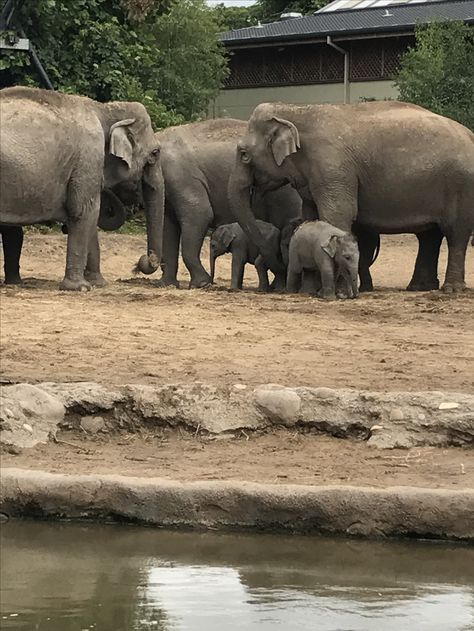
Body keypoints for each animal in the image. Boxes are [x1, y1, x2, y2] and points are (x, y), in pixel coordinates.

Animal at [0, 86, 164, 292]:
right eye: (155, 153)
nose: (142, 261)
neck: (104, 109)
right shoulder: (88, 156)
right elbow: (85, 210)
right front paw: (80, 287)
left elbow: (91, 215)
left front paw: (98, 283)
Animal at [148, 119, 302, 292]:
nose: (143, 263)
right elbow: (168, 225)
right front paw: (166, 284)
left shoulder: (182, 177)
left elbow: (200, 215)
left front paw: (201, 284)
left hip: (286, 195)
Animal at [229, 100, 474, 294]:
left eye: (244, 154)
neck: (296, 110)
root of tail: (470, 134)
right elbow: (310, 217)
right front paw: (310, 291)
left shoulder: (333, 168)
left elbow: (337, 215)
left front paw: (336, 292)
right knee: (429, 236)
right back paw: (420, 288)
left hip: (461, 185)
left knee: (456, 233)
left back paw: (451, 290)